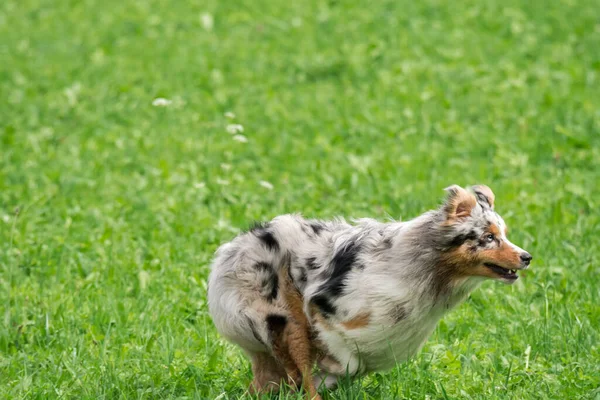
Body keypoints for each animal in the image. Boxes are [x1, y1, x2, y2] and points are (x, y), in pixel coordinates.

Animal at [206, 186, 528, 398]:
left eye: (504, 234)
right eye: (489, 237)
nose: (527, 257)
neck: (425, 267)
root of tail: (229, 250)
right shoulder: (326, 313)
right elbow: (348, 362)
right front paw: (328, 372)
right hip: (284, 320)